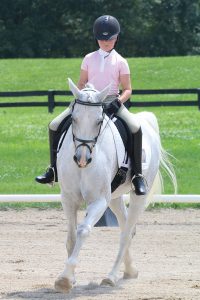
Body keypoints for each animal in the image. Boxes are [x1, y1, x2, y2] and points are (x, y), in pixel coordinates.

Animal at [54, 78, 177, 292]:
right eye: (74, 119)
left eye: (98, 121)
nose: (82, 159)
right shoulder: (68, 198)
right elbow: (71, 237)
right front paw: (70, 278)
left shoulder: (99, 201)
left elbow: (83, 230)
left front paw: (65, 278)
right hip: (115, 197)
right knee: (127, 227)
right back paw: (129, 270)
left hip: (137, 196)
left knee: (126, 233)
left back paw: (111, 277)